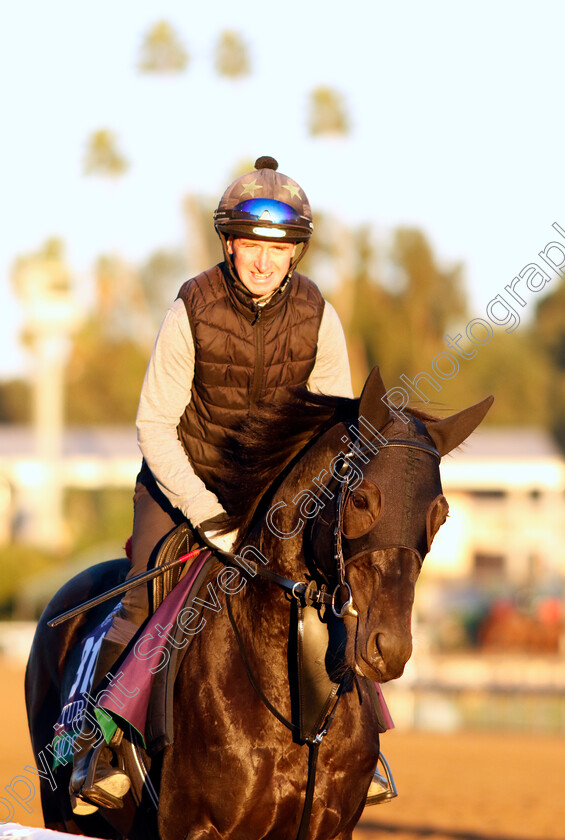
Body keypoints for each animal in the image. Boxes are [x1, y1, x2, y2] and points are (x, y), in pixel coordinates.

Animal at [25, 370, 494, 840]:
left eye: (440, 515)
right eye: (362, 499)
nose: (389, 649)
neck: (299, 715)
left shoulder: (332, 828)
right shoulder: (194, 826)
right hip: (61, 812)